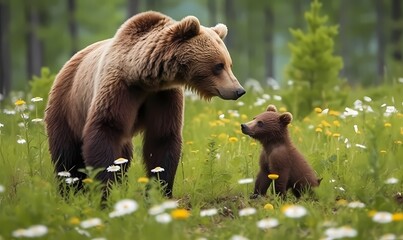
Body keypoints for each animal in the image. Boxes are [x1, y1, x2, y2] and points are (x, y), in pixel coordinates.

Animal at [45, 11, 245, 198]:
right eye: (218, 65)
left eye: (229, 64)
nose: (238, 90)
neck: (143, 78)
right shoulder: (119, 88)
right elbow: (105, 128)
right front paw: (105, 190)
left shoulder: (163, 96)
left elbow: (162, 138)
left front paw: (160, 190)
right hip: (66, 105)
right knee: (67, 155)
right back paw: (69, 190)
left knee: (123, 157)